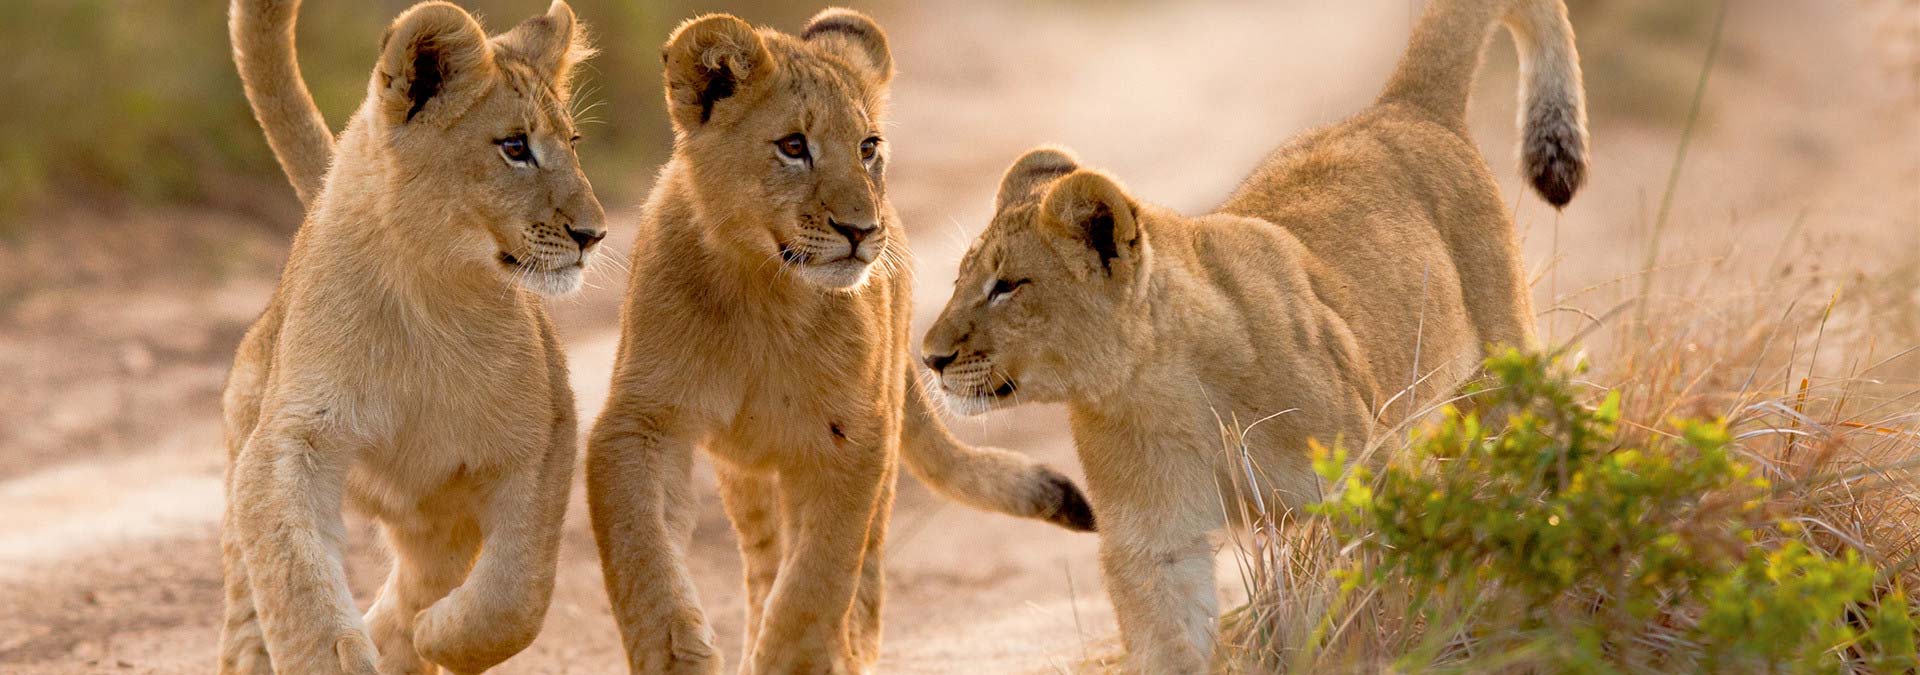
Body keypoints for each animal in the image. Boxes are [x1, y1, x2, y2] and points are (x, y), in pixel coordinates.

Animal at [220, 1, 603, 672]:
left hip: (437, 510)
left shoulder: (545, 436)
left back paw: (407, 636)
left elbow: (516, 594)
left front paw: (438, 636)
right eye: (515, 147)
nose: (595, 234)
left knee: (419, 582)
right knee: (248, 595)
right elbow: (298, 587)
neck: (432, 294)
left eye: (573, 144)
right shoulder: (291, 439)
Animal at [584, 8, 1095, 674]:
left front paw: (794, 658)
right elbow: (644, 555)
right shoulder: (642, 419)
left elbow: (818, 579)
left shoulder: (855, 434)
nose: (861, 230)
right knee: (763, 562)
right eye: (793, 146)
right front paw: (678, 651)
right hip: (747, 472)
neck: (762, 292)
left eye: (868, 147)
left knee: (861, 573)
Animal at [919, 0, 1589, 671]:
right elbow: (1171, 640)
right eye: (961, 280)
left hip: (1498, 376)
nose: (929, 358)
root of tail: (1402, 106)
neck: (1166, 389)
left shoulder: (1357, 488)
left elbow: (1345, 612)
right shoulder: (1155, 544)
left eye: (1007, 286)